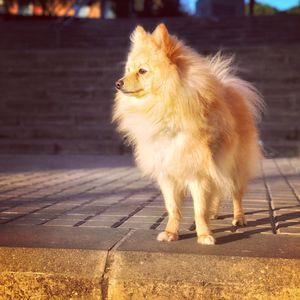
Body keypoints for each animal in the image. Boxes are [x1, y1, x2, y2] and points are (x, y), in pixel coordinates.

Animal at [113, 23, 264, 244]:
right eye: (128, 70)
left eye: (142, 71)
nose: (118, 82)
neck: (162, 110)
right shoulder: (167, 173)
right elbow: (173, 208)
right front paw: (171, 232)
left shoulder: (198, 173)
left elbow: (199, 210)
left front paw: (204, 235)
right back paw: (214, 213)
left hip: (235, 166)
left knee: (237, 193)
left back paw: (239, 218)